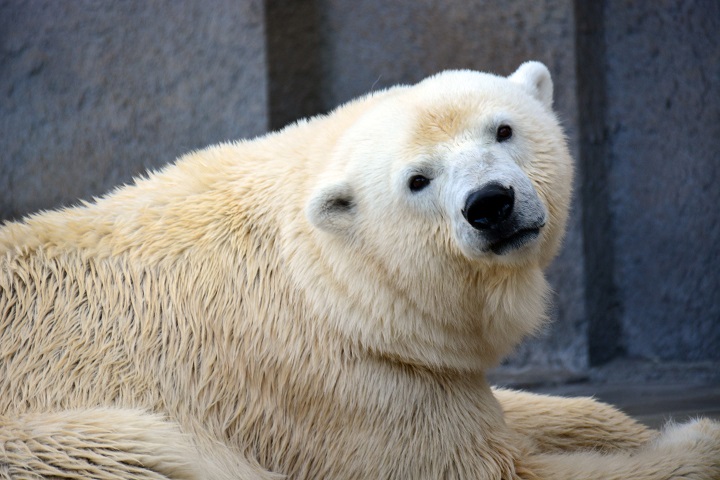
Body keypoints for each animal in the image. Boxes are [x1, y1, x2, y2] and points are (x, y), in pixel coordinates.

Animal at [1, 62, 720, 478]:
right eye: (417, 179)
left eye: (504, 129)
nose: (490, 204)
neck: (324, 283)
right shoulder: (340, 388)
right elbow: (493, 467)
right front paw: (696, 439)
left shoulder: (408, 371)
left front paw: (628, 428)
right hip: (65, 442)